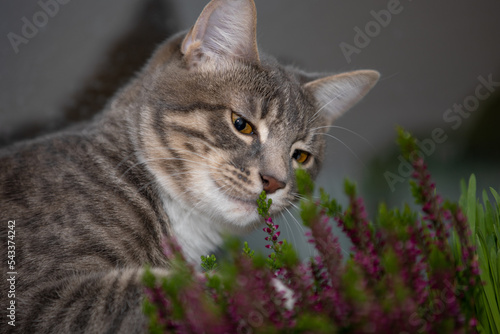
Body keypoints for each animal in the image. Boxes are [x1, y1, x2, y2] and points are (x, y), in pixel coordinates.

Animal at [0, 0, 376, 332]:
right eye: (241, 124)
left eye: (300, 156)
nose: (274, 181)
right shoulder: (39, 298)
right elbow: (148, 291)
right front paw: (263, 290)